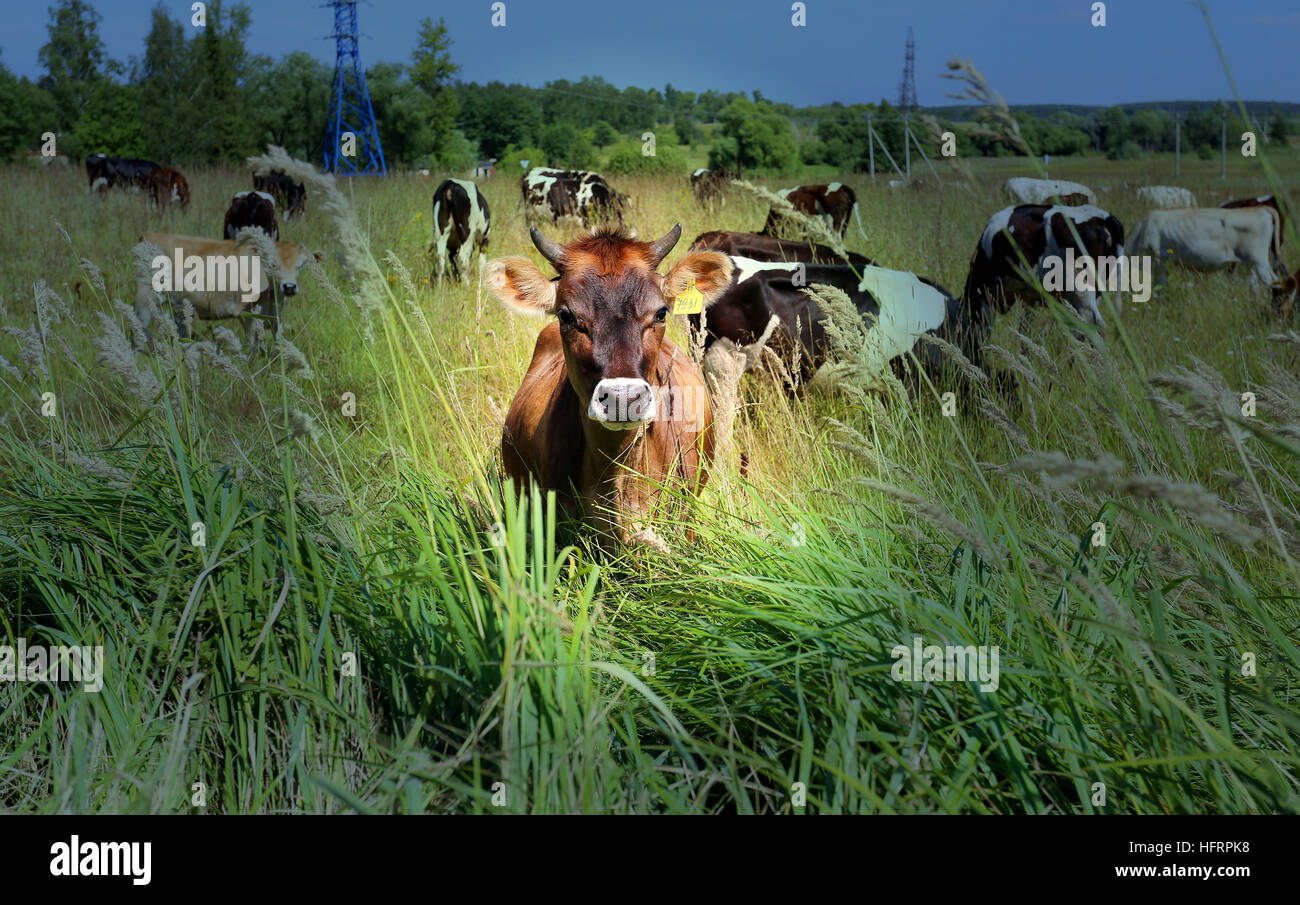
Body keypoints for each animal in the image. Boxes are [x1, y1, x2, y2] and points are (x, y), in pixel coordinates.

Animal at [134, 230, 322, 345]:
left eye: (300, 265)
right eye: (273, 264)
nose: (289, 287)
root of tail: (148, 235)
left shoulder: (275, 315)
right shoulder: (247, 313)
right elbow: (254, 345)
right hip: (145, 300)